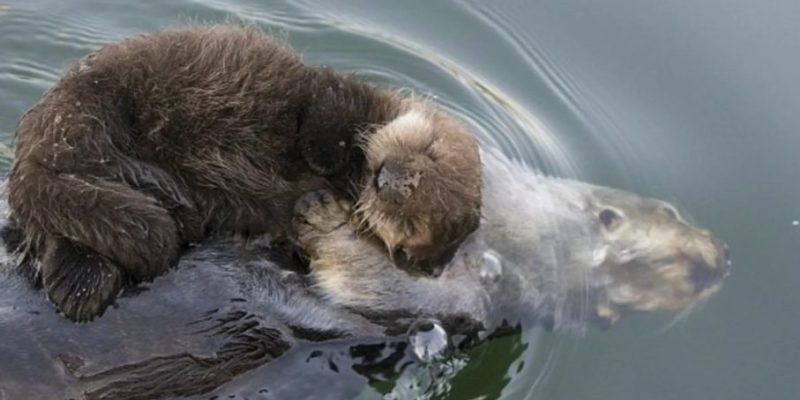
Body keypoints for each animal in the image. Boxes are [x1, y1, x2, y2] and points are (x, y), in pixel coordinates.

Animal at [7, 25, 482, 322]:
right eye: (430, 150)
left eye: (410, 222)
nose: (388, 180)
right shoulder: (339, 97)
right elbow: (323, 116)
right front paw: (329, 153)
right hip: (89, 112)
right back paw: (153, 185)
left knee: (68, 234)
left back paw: (81, 286)